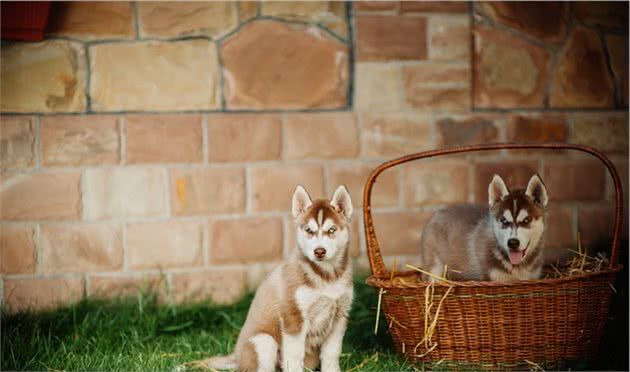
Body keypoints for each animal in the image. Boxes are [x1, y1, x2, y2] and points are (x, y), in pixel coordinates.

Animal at [196, 185, 356, 370]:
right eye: (309, 230)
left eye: (332, 230)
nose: (319, 251)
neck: (327, 276)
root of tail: (236, 357)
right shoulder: (293, 317)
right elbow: (294, 356)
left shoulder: (339, 317)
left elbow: (332, 354)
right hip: (264, 341)